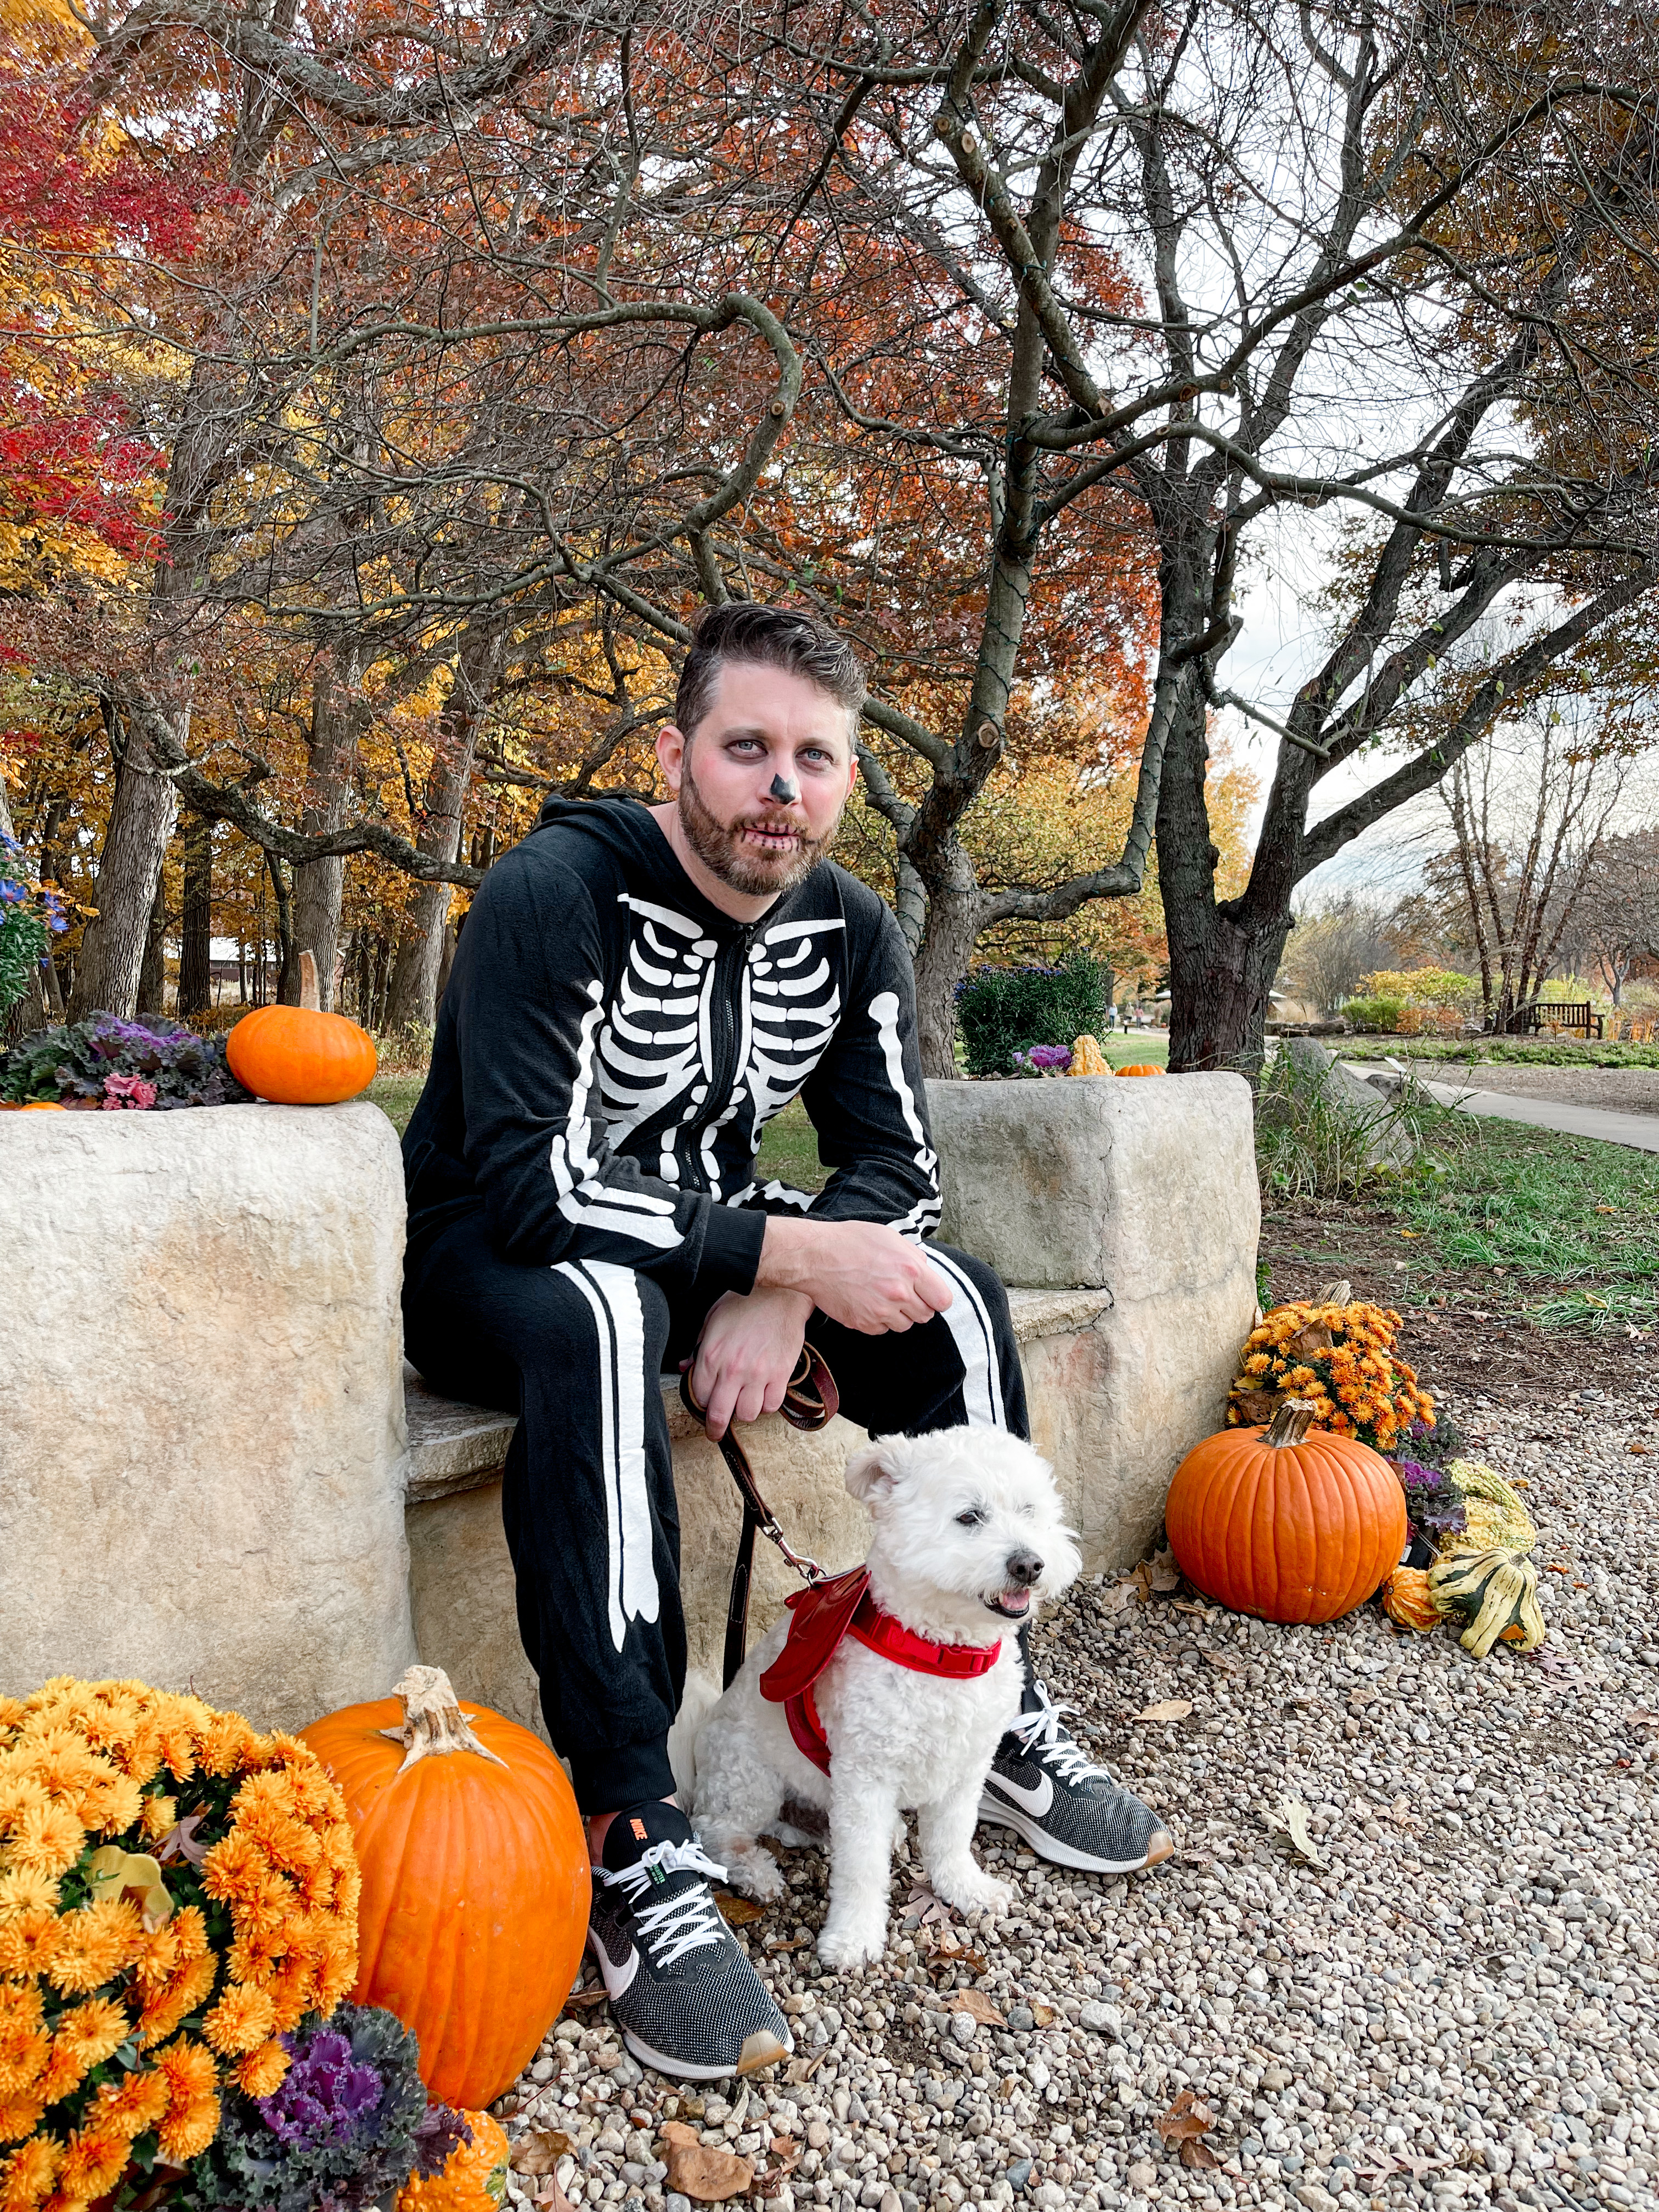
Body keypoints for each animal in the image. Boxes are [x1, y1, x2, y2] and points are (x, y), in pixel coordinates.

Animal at [681, 1433, 1084, 1973]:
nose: (1030, 1564)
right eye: (969, 1516)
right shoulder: (865, 1778)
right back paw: (757, 1873)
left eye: (1029, 1509)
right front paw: (852, 1938)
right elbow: (862, 1869)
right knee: (715, 1830)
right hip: (748, 1776)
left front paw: (967, 1888)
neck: (938, 1652)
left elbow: (952, 1838)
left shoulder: (967, 1767)